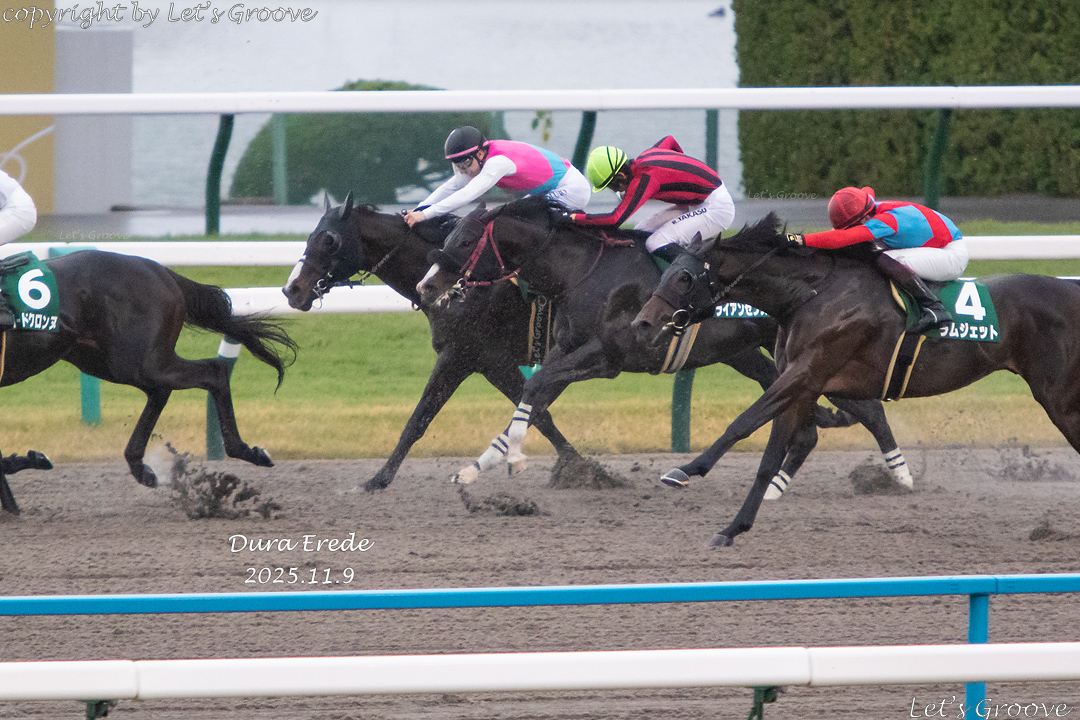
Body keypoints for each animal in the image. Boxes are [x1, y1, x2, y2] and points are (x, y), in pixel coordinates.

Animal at [0, 249, 297, 515]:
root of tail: (158, 270)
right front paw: (16, 493)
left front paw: (29, 464)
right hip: (103, 360)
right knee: (163, 390)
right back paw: (140, 466)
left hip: (136, 361)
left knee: (212, 372)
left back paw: (245, 451)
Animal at [282, 193, 586, 490]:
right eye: (309, 237)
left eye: (329, 240)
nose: (291, 290)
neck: (459, 292)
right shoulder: (486, 362)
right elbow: (538, 412)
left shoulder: (465, 356)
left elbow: (419, 420)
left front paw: (378, 479)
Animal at [416, 195, 908, 495]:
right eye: (446, 237)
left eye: (463, 240)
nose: (425, 287)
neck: (582, 271)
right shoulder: (565, 351)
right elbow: (533, 397)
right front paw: (478, 466)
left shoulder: (607, 356)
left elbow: (535, 391)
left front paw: (514, 460)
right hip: (759, 357)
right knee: (814, 423)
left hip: (817, 355)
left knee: (870, 410)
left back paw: (900, 475)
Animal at [632, 212, 1080, 547]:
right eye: (667, 272)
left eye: (684, 277)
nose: (642, 324)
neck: (810, 295)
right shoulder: (803, 385)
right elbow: (770, 457)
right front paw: (732, 529)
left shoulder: (805, 373)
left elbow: (742, 424)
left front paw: (686, 470)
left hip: (1060, 398)